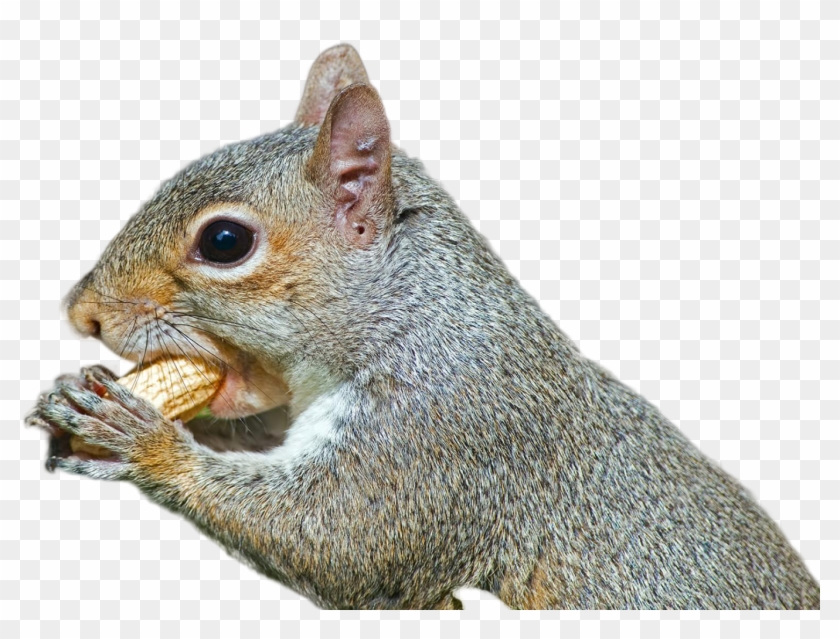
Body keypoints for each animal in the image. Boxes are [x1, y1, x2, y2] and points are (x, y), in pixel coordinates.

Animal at [27, 44, 819, 610]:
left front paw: (142, 439)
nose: (81, 311)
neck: (415, 315)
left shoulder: (439, 436)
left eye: (225, 242)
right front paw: (77, 397)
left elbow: (335, 537)